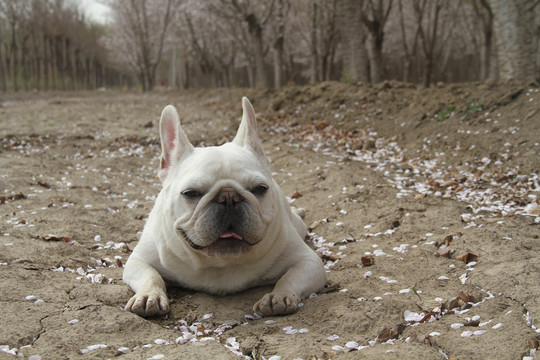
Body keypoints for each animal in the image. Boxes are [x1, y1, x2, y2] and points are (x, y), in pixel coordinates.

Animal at [122, 97, 324, 316]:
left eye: (260, 189)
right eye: (191, 193)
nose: (229, 198)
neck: (221, 263)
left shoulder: (309, 263)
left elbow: (289, 278)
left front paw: (278, 296)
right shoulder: (137, 261)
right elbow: (151, 276)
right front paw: (149, 296)